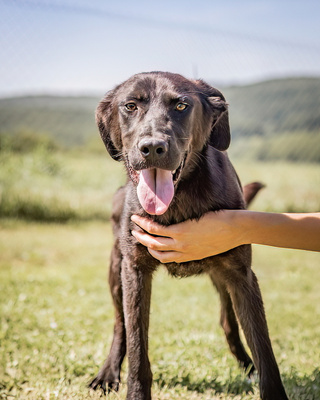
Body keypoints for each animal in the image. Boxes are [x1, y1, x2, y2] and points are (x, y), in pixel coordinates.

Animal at [89, 72, 288, 400]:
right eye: (130, 106)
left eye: (181, 105)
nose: (152, 147)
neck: (178, 200)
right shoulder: (135, 271)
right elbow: (137, 346)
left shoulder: (241, 275)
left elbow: (265, 354)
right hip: (116, 268)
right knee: (121, 324)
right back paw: (108, 372)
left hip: (222, 276)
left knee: (228, 320)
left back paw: (246, 364)